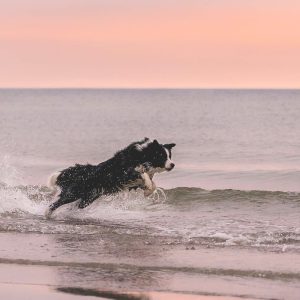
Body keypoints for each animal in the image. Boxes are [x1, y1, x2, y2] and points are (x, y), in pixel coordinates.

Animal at [45, 138, 175, 216]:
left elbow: (152, 183)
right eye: (162, 156)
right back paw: (47, 213)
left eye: (170, 156)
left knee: (76, 205)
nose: (173, 164)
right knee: (57, 203)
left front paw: (148, 191)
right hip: (74, 193)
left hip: (88, 198)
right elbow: (142, 173)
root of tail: (84, 171)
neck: (143, 154)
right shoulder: (126, 172)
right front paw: (148, 185)